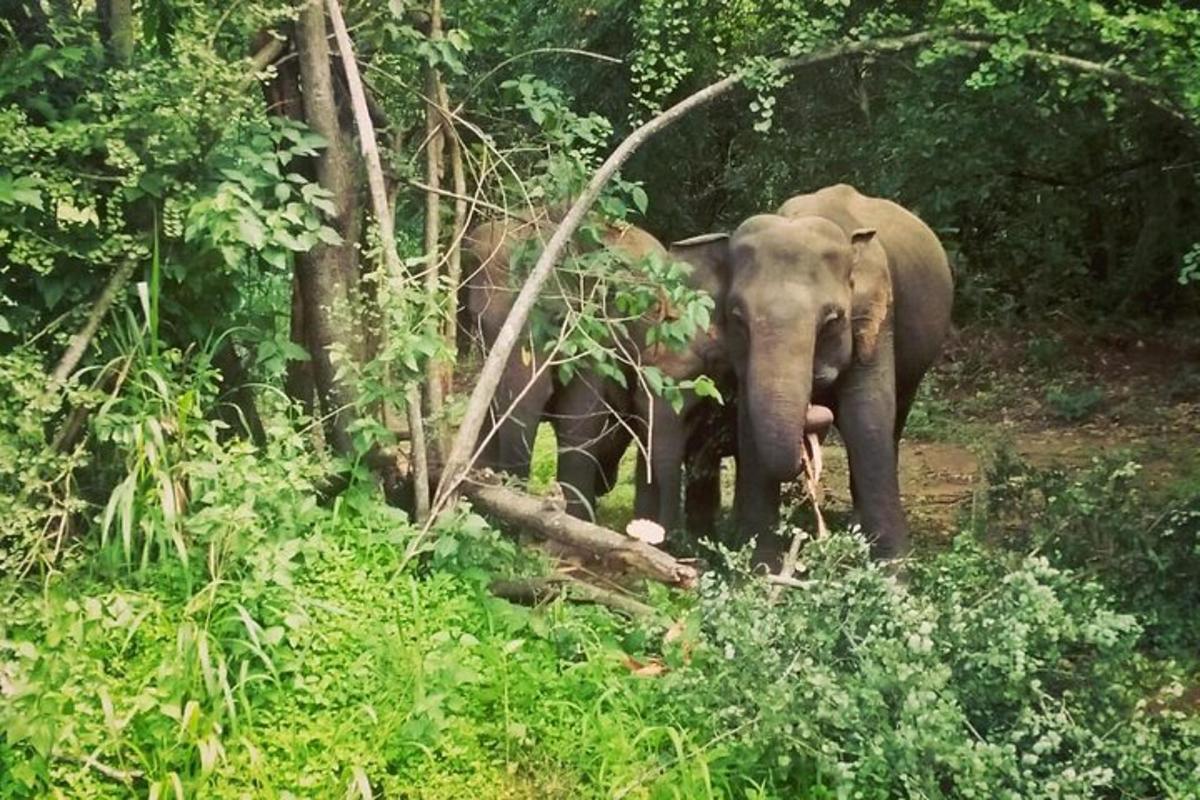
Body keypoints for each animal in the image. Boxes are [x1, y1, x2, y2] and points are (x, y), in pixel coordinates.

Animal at [676, 183, 955, 561]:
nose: (815, 409)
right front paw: (760, 567)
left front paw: (893, 569)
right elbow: (750, 428)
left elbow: (866, 419)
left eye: (833, 319)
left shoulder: (876, 322)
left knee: (895, 417)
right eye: (737, 317)